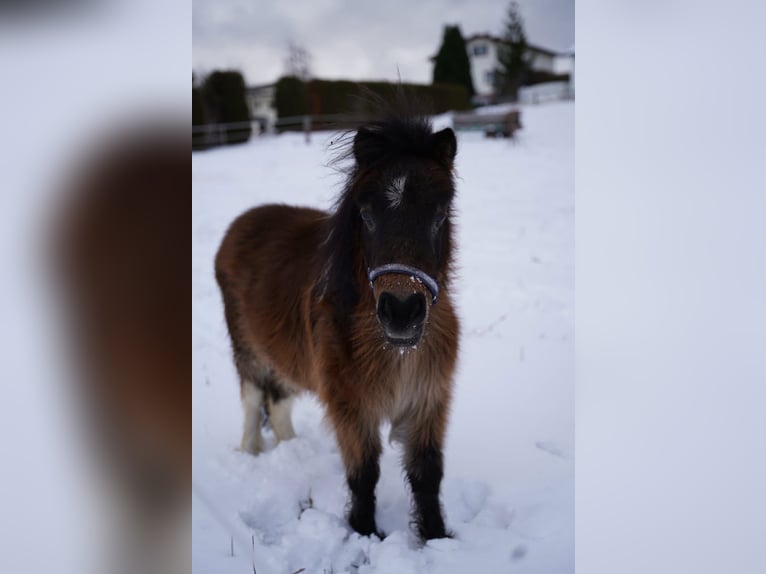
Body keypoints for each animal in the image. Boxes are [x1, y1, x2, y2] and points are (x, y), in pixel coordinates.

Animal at [215, 108, 460, 542]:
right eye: (366, 216)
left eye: (439, 215)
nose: (402, 311)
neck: (394, 348)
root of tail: (242, 223)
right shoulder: (351, 406)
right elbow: (363, 474)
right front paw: (363, 533)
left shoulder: (428, 399)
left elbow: (428, 474)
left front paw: (435, 538)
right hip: (248, 350)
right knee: (252, 400)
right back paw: (250, 452)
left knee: (278, 403)